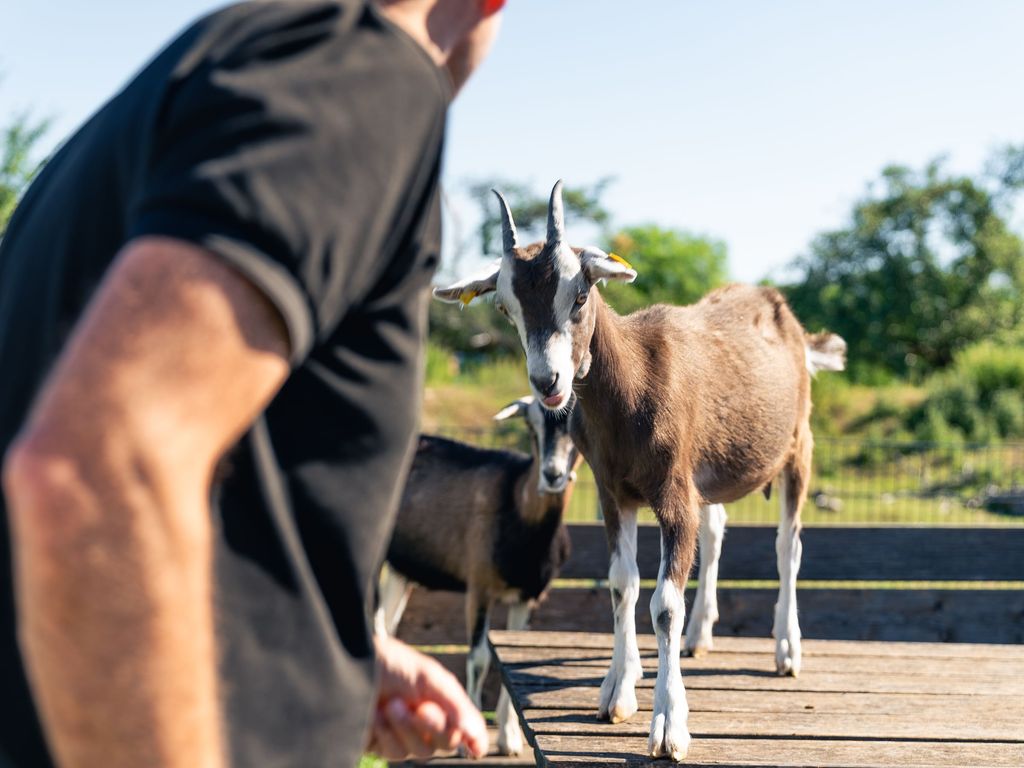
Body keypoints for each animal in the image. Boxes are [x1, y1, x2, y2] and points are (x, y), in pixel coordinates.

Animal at [378, 395, 579, 756]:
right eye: (531, 425)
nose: (552, 475)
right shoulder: (479, 587)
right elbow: (479, 659)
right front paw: (467, 744)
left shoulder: (527, 597)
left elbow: (510, 658)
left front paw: (509, 740)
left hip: (399, 571)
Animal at [434, 181, 846, 762]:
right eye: (504, 305)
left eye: (580, 294)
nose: (548, 381)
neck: (633, 383)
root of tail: (784, 314)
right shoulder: (615, 494)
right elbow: (620, 585)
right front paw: (617, 690)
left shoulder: (673, 494)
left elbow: (664, 605)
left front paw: (669, 727)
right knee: (715, 531)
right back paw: (700, 638)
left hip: (798, 447)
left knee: (788, 546)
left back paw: (787, 651)